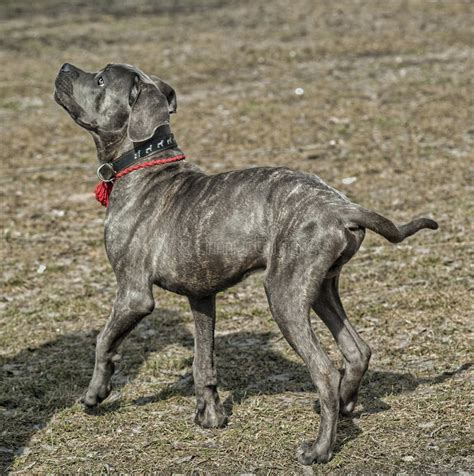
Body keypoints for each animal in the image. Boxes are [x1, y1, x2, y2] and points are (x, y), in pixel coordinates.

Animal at [52, 63, 436, 464]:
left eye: (100, 79)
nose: (64, 67)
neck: (142, 165)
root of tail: (341, 206)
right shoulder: (201, 296)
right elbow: (203, 362)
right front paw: (211, 416)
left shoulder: (133, 294)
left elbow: (103, 341)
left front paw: (94, 394)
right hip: (320, 288)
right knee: (357, 351)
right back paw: (346, 406)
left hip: (283, 294)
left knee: (326, 372)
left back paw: (319, 449)